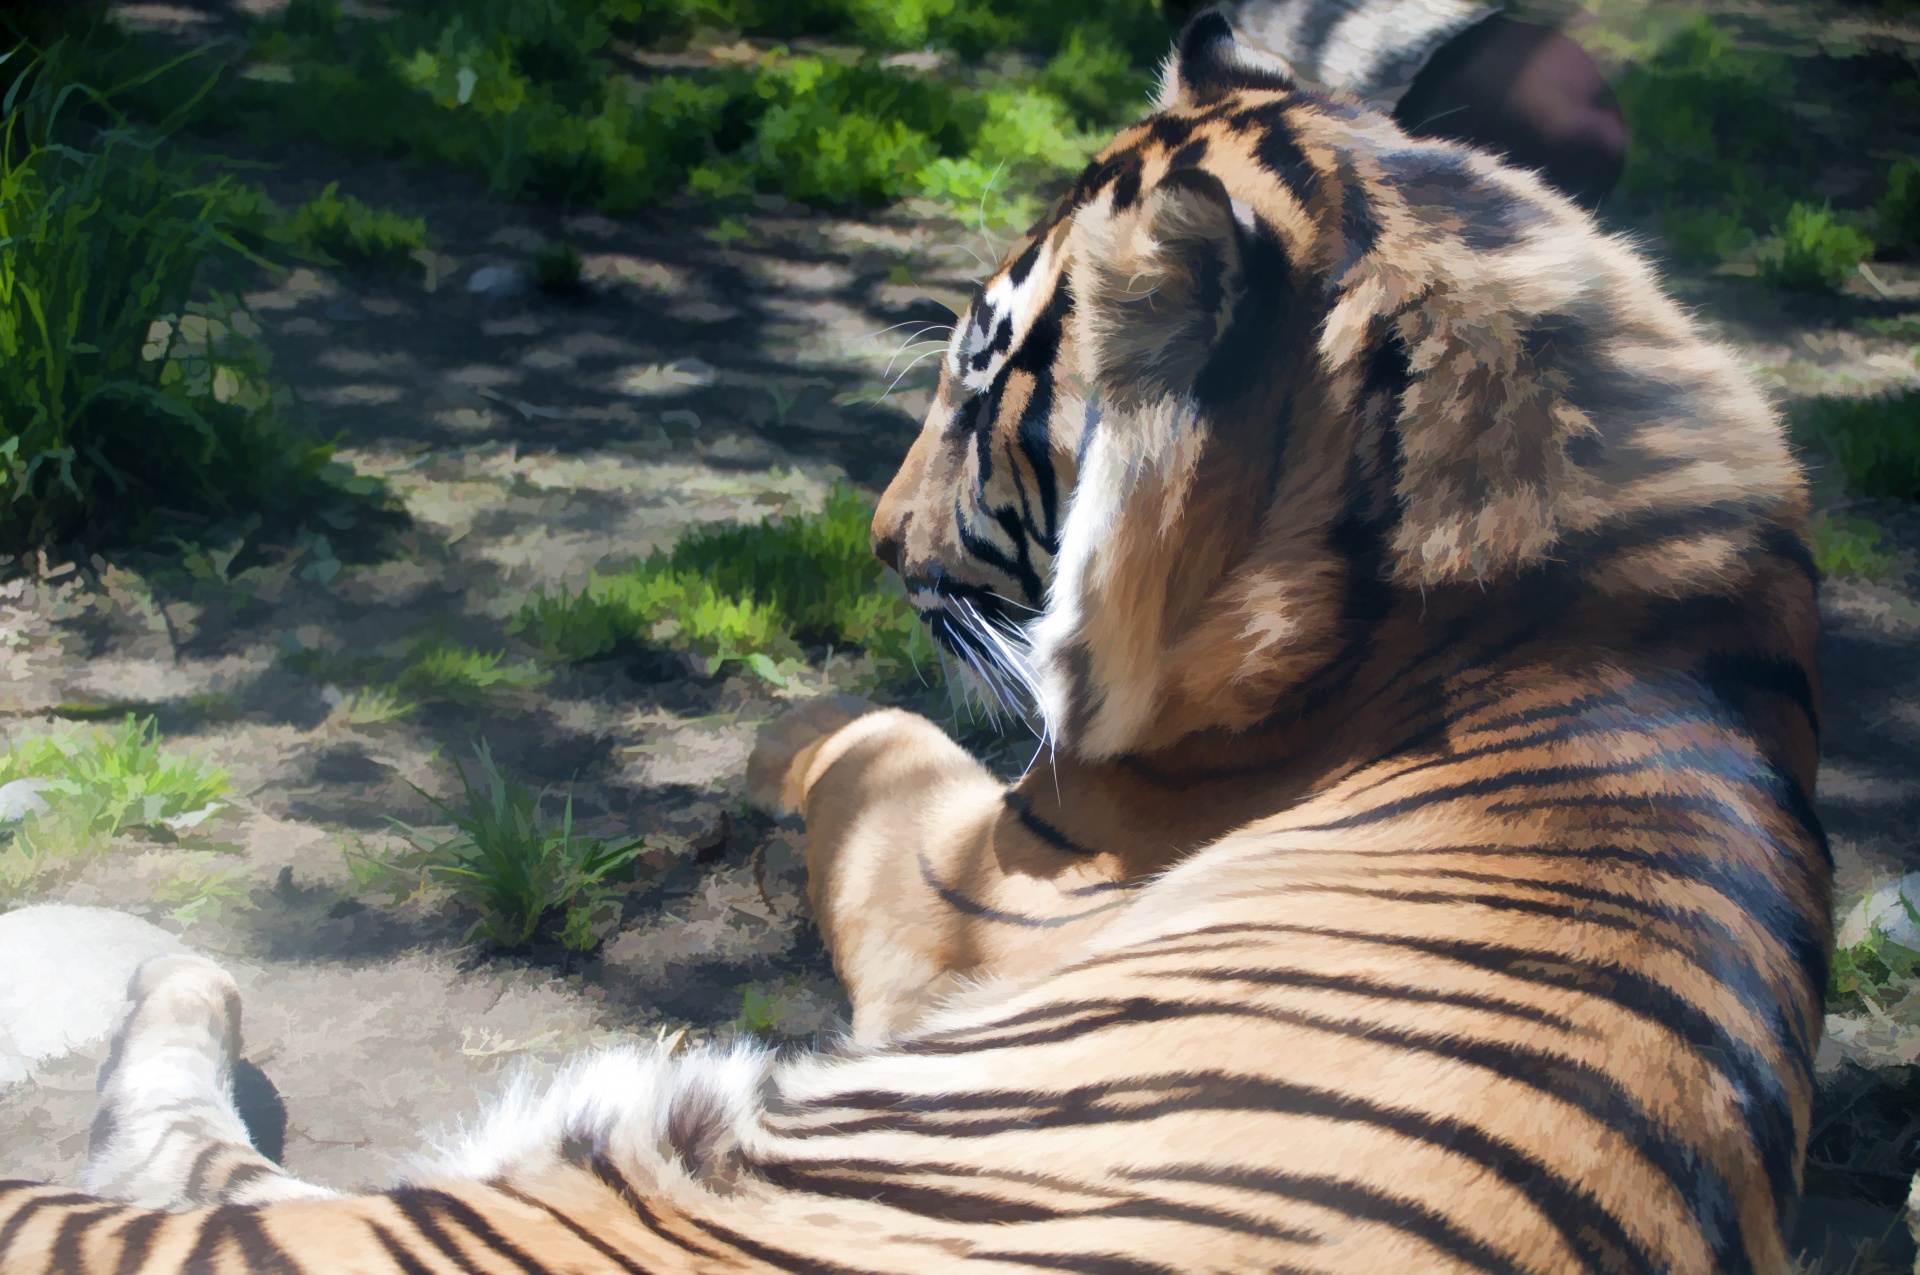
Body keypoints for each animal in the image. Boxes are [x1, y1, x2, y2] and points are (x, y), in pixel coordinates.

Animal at [0, 12, 1827, 1275]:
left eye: (976, 391)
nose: (877, 546)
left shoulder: (984, 879)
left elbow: (877, 735)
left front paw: (781, 734)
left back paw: (182, 972)